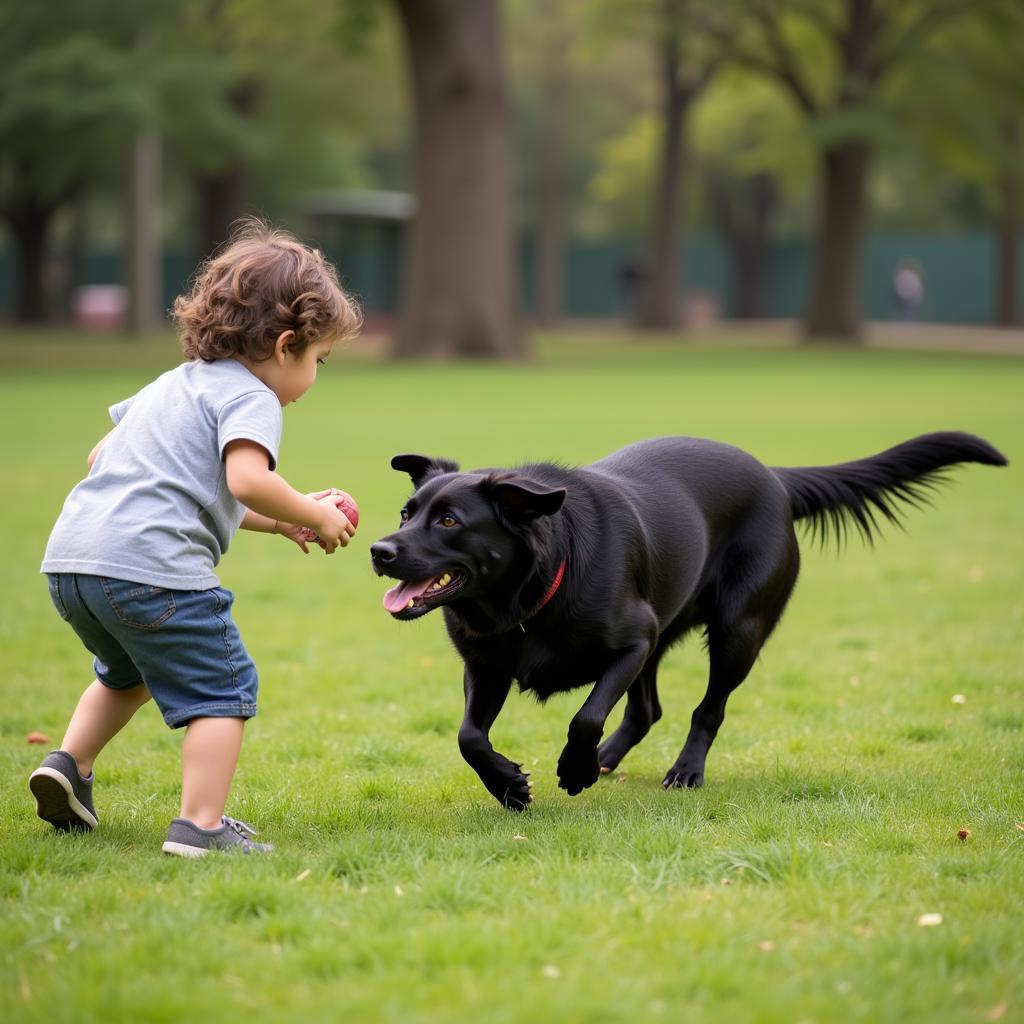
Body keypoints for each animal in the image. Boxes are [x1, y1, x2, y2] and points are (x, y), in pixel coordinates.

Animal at [370, 430, 1007, 806]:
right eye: (406, 512)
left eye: (449, 521)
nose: (379, 550)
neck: (529, 596)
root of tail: (775, 477)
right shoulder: (485, 666)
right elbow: (469, 736)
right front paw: (508, 785)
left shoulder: (630, 642)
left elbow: (586, 716)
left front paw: (574, 769)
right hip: (665, 634)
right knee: (647, 710)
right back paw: (608, 761)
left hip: (736, 632)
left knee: (708, 708)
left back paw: (682, 772)